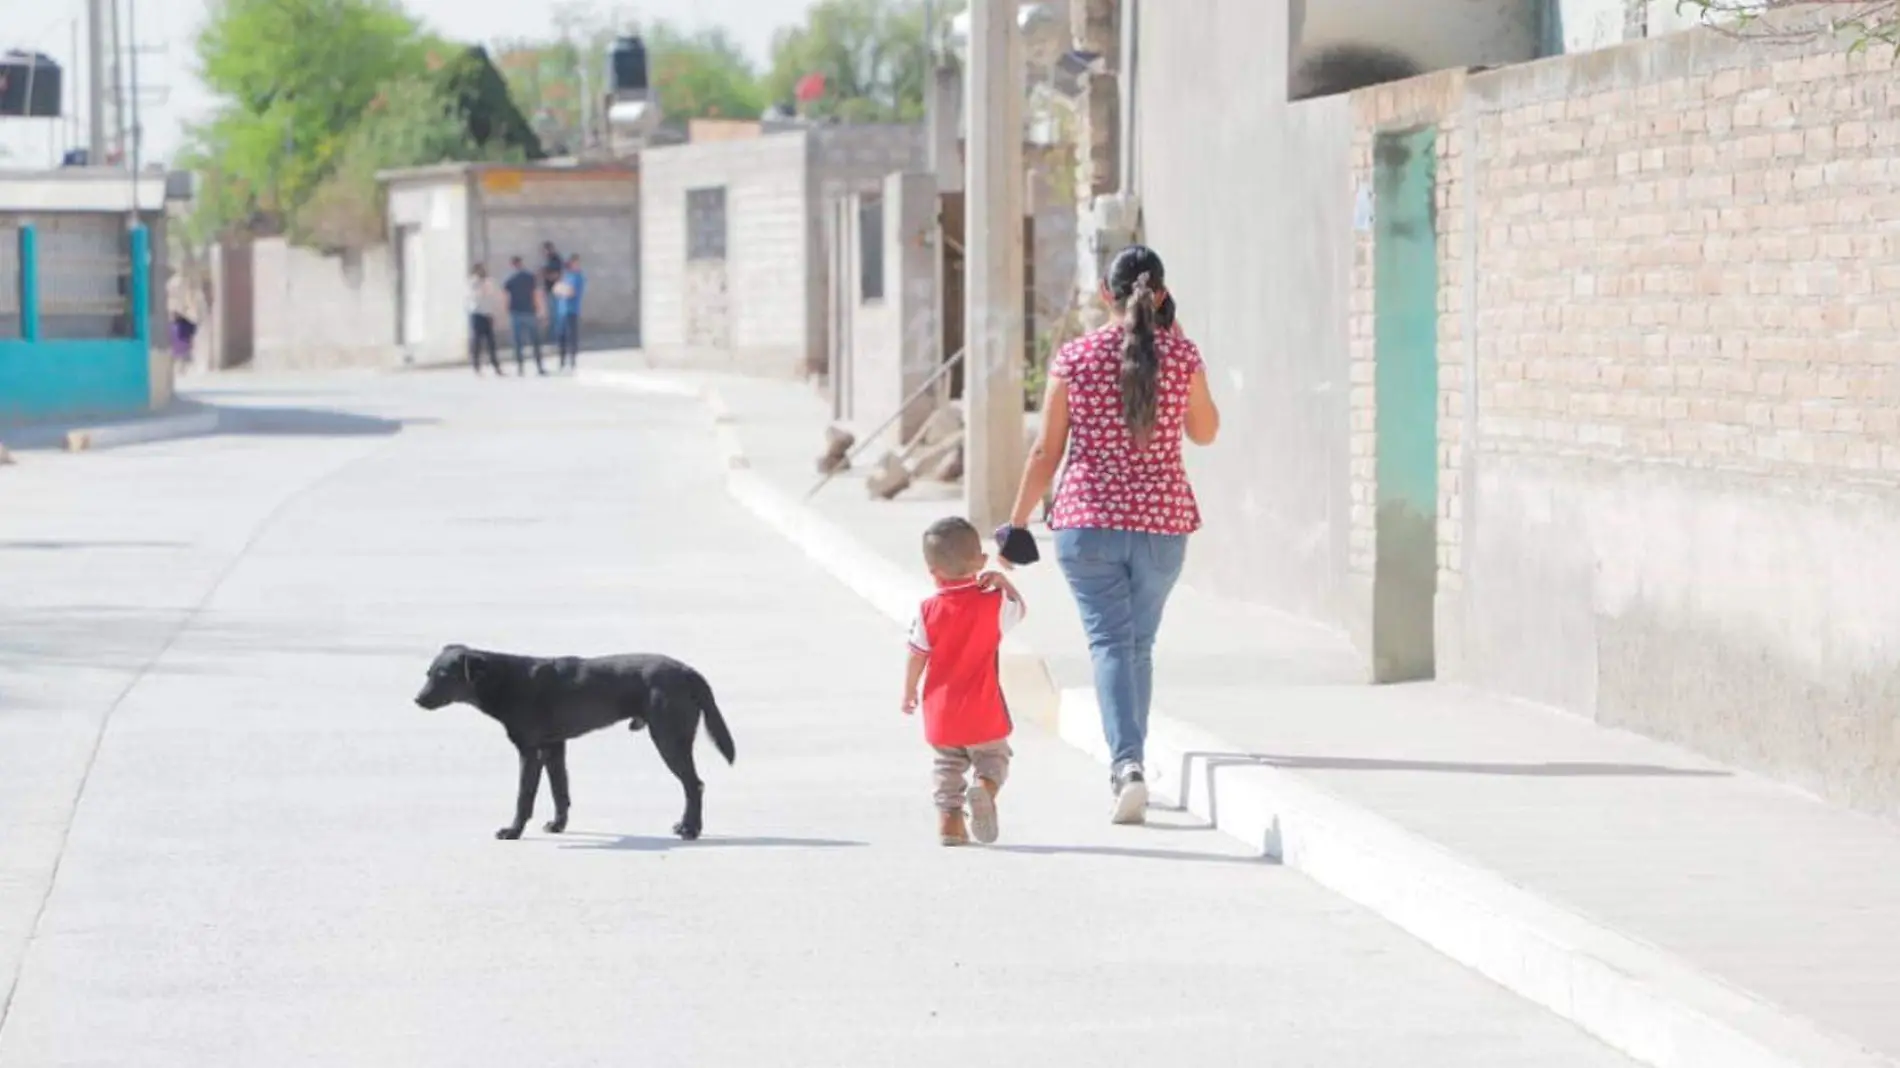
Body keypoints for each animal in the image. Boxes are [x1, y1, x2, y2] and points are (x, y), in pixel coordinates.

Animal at [414, 638, 733, 839]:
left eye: (443, 676)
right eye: (428, 673)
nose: (417, 699)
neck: (506, 681)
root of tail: (689, 672)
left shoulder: (530, 750)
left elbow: (524, 796)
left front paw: (513, 831)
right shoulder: (553, 747)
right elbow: (560, 792)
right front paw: (558, 825)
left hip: (669, 739)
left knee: (694, 785)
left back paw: (691, 830)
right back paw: (685, 826)